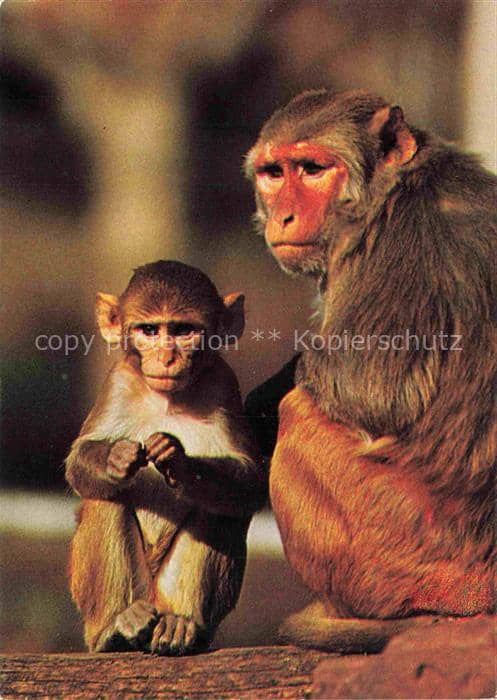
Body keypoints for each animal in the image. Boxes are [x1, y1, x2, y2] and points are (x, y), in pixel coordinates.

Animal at [65, 260, 265, 655]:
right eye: (149, 330)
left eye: (183, 330)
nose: (167, 357)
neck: (168, 399)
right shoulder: (118, 381)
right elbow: (79, 464)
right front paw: (117, 457)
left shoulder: (223, 383)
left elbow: (249, 484)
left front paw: (180, 463)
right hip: (133, 594)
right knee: (105, 497)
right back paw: (115, 629)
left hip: (169, 594)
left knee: (220, 509)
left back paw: (181, 625)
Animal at [244, 89, 496, 652]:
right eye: (274, 172)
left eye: (313, 169)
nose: (283, 216)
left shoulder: (404, 248)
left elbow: (372, 389)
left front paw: (258, 400)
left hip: (407, 544)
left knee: (301, 414)